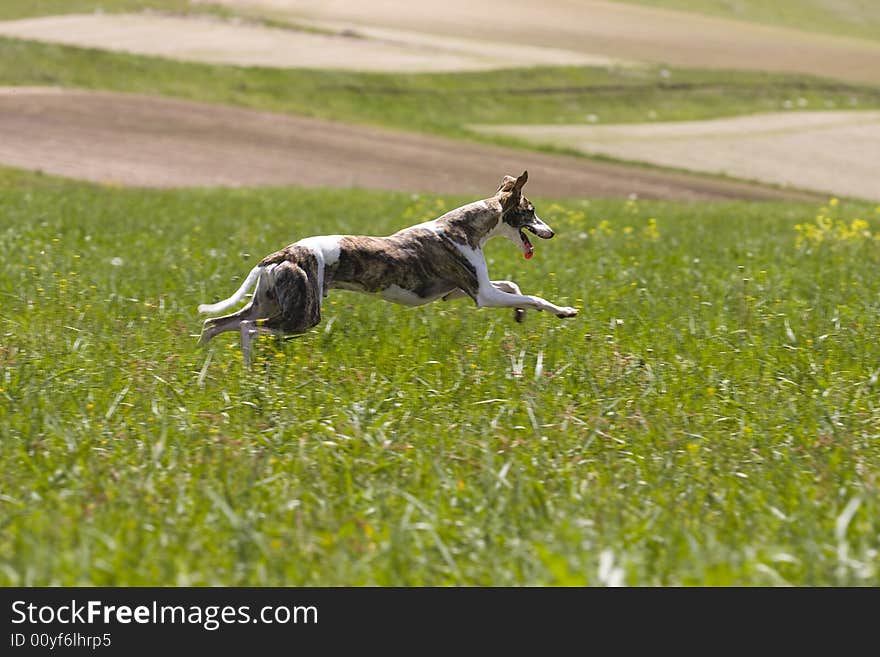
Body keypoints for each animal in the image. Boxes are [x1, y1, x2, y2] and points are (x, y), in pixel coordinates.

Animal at [203, 169, 580, 364]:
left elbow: (514, 287)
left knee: (216, 324)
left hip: (269, 301)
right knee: (248, 329)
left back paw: (203, 366)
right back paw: (247, 366)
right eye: (531, 210)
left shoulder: (460, 292)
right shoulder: (483, 295)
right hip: (302, 315)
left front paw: (519, 314)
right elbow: (532, 296)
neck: (464, 226)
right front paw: (564, 311)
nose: (551, 232)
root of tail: (281, 254)